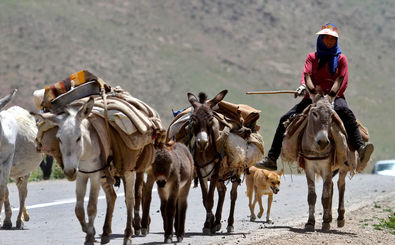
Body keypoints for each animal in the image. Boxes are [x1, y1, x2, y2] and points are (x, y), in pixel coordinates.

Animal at [0, 90, 42, 230]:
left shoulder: (6, 162)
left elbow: (1, 190)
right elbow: (5, 192)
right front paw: (6, 220)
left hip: (25, 171)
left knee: (23, 192)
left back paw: (20, 220)